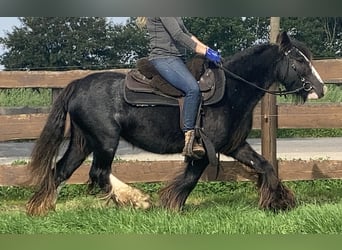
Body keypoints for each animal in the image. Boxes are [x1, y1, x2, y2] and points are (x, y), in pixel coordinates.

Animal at [26, 31, 324, 215]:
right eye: (298, 60)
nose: (320, 89)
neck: (232, 90)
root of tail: (77, 84)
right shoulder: (205, 150)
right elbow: (189, 180)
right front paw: (171, 206)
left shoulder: (235, 146)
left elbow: (266, 166)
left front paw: (279, 202)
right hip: (105, 141)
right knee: (98, 173)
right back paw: (136, 200)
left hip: (83, 141)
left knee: (61, 170)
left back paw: (42, 209)